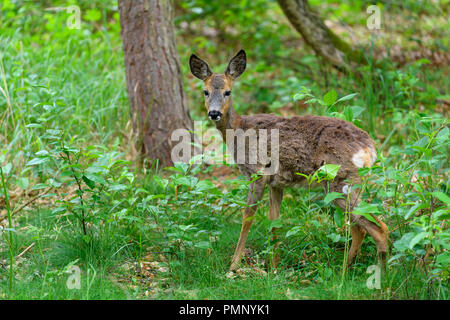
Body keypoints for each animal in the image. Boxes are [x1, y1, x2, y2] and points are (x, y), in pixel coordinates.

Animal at [188, 48, 388, 272]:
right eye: (205, 91)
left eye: (227, 92)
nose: (213, 113)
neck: (239, 130)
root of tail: (370, 148)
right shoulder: (276, 183)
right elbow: (274, 221)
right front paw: (274, 268)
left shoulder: (257, 173)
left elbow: (248, 217)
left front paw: (233, 265)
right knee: (359, 228)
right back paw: (346, 269)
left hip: (340, 180)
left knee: (377, 227)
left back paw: (378, 274)